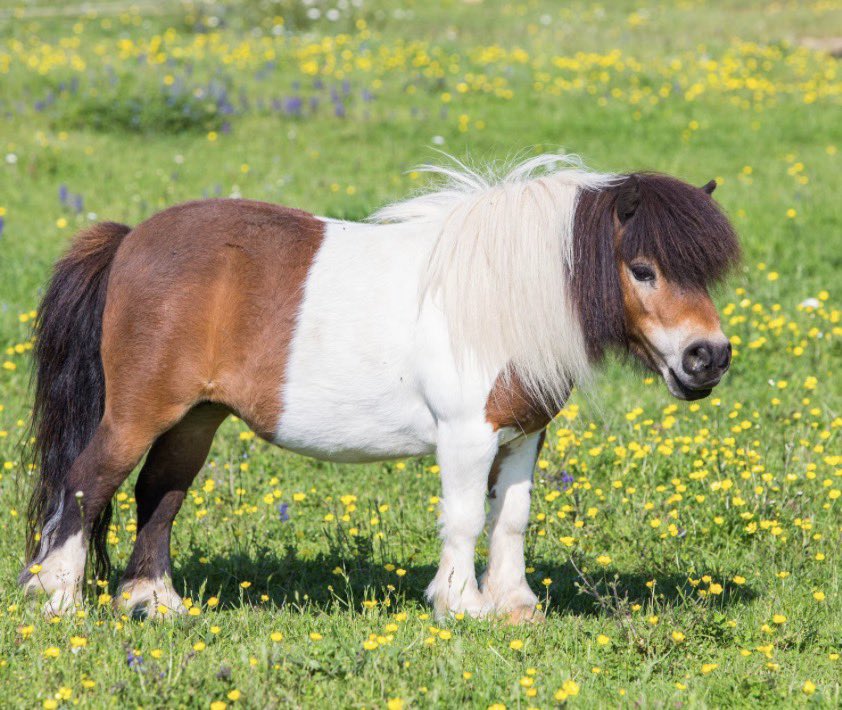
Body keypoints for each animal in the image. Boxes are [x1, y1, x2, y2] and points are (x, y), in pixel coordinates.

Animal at [19, 154, 740, 622]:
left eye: (706, 273)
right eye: (642, 269)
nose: (708, 358)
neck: (500, 296)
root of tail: (129, 240)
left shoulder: (522, 435)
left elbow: (511, 516)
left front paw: (516, 606)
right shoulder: (467, 435)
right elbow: (465, 517)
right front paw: (462, 606)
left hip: (197, 417)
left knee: (158, 493)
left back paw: (156, 603)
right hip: (139, 412)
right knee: (86, 483)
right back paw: (58, 599)